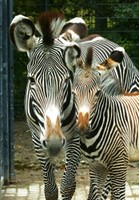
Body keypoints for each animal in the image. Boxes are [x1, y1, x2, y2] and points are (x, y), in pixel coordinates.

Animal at [9, 11, 86, 200]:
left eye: (67, 79)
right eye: (31, 79)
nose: (54, 143)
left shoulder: (74, 138)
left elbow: (68, 185)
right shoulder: (37, 139)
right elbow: (50, 189)